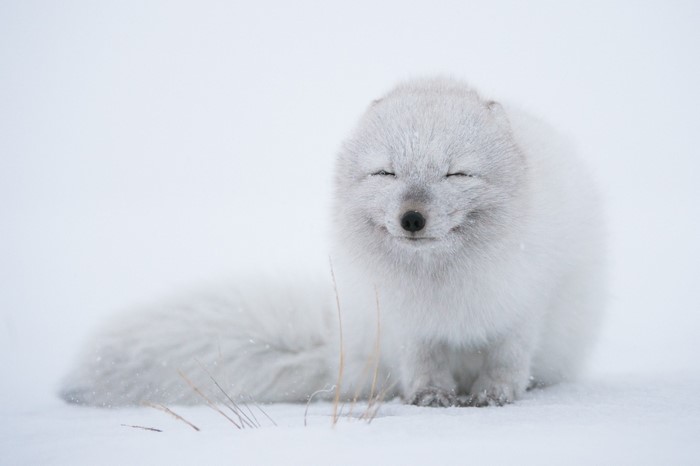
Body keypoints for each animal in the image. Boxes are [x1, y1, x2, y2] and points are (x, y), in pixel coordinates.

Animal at [61, 78, 605, 408]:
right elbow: (423, 365)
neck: (440, 284)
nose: (412, 217)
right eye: (386, 172)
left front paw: (495, 396)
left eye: (457, 173)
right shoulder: (406, 323)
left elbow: (507, 360)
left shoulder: (523, 306)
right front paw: (430, 398)